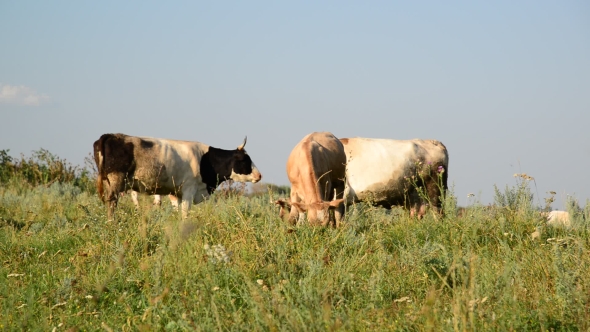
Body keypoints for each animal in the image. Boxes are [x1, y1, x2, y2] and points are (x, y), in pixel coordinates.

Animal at [93, 132, 262, 220]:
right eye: (244, 159)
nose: (259, 175)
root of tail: (112, 135)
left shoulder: (176, 193)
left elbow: (177, 211)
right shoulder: (189, 189)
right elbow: (185, 213)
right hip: (115, 180)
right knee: (112, 202)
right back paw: (111, 222)